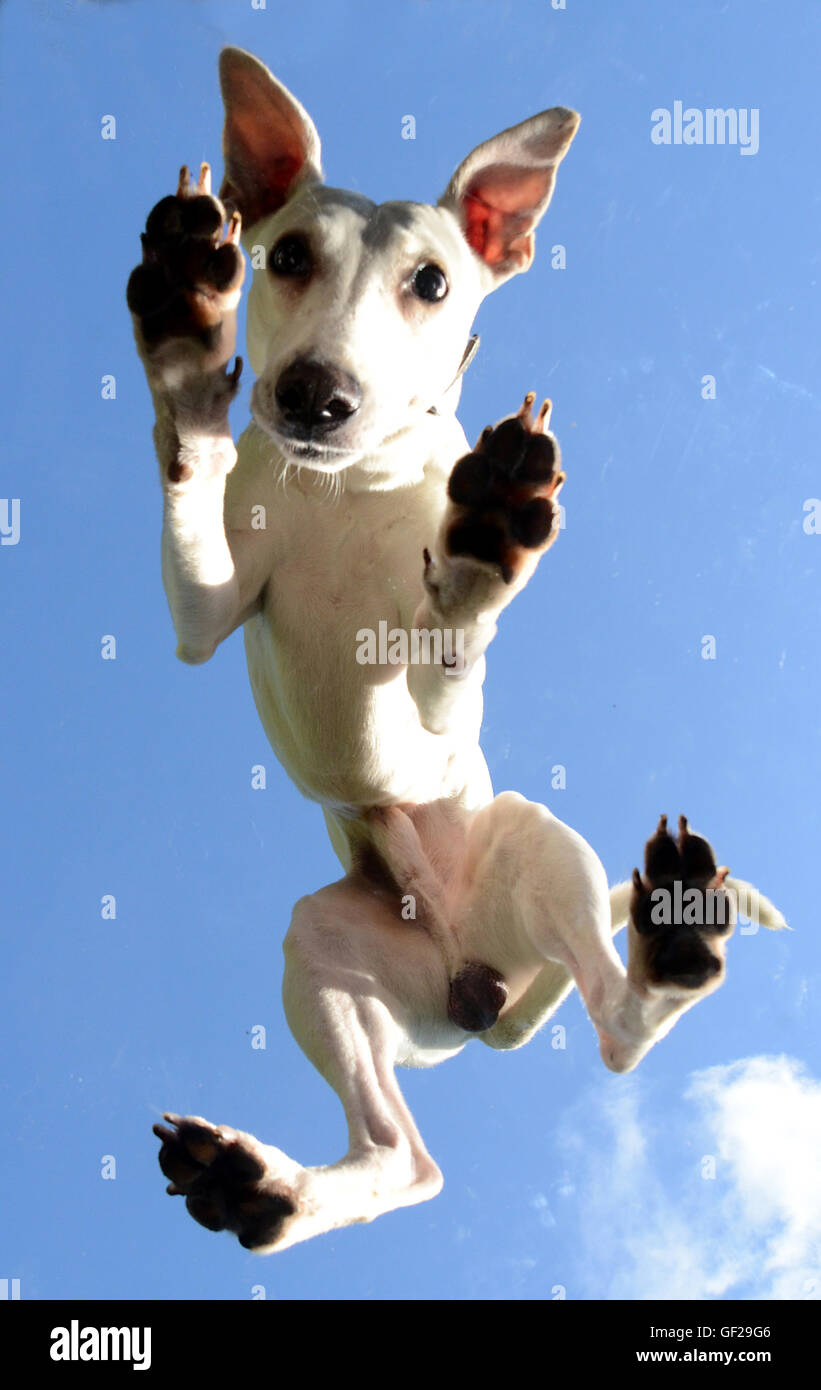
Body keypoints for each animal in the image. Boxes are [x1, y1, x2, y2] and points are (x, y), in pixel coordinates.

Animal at [125, 48, 789, 1256]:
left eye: (432, 284)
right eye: (285, 255)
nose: (314, 397)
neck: (346, 488)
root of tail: (475, 991)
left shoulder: (431, 721)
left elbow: (446, 643)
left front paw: (483, 543)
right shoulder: (203, 615)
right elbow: (190, 471)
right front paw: (187, 335)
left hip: (536, 849)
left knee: (619, 1030)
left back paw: (670, 943)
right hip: (324, 955)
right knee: (406, 1160)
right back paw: (259, 1188)